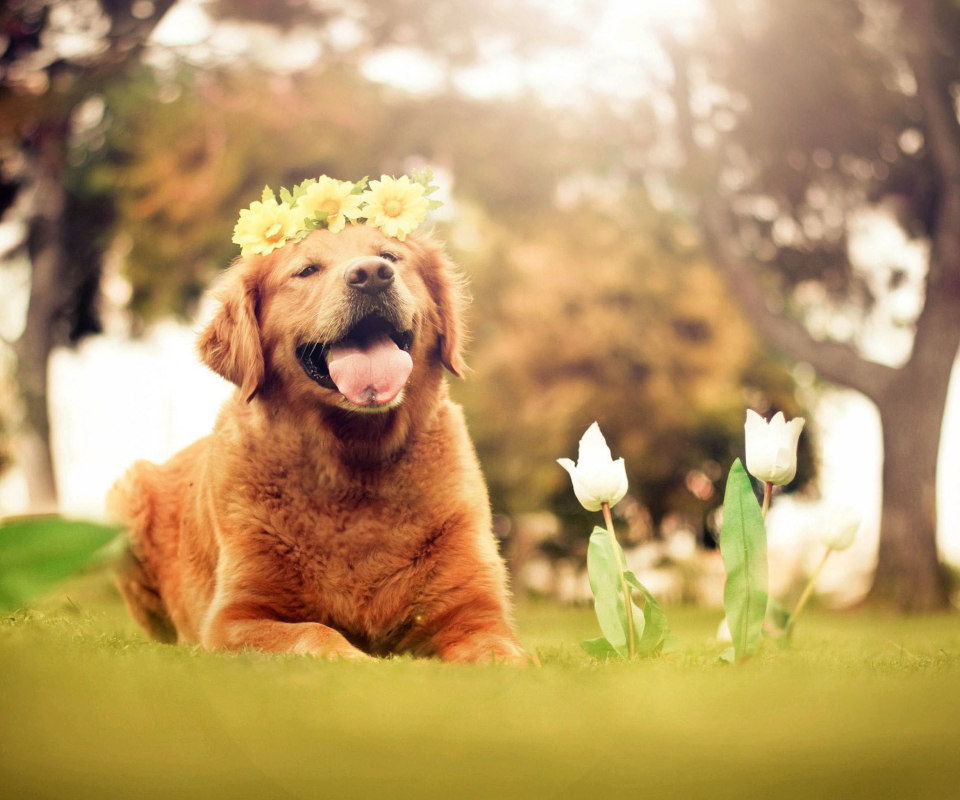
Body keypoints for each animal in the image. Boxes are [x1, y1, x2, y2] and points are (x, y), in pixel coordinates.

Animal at [111, 225, 524, 664]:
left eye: (390, 257)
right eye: (307, 269)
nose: (372, 275)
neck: (354, 462)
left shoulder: (475, 611)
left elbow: (499, 650)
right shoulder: (233, 618)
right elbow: (313, 632)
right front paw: (357, 661)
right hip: (128, 494)